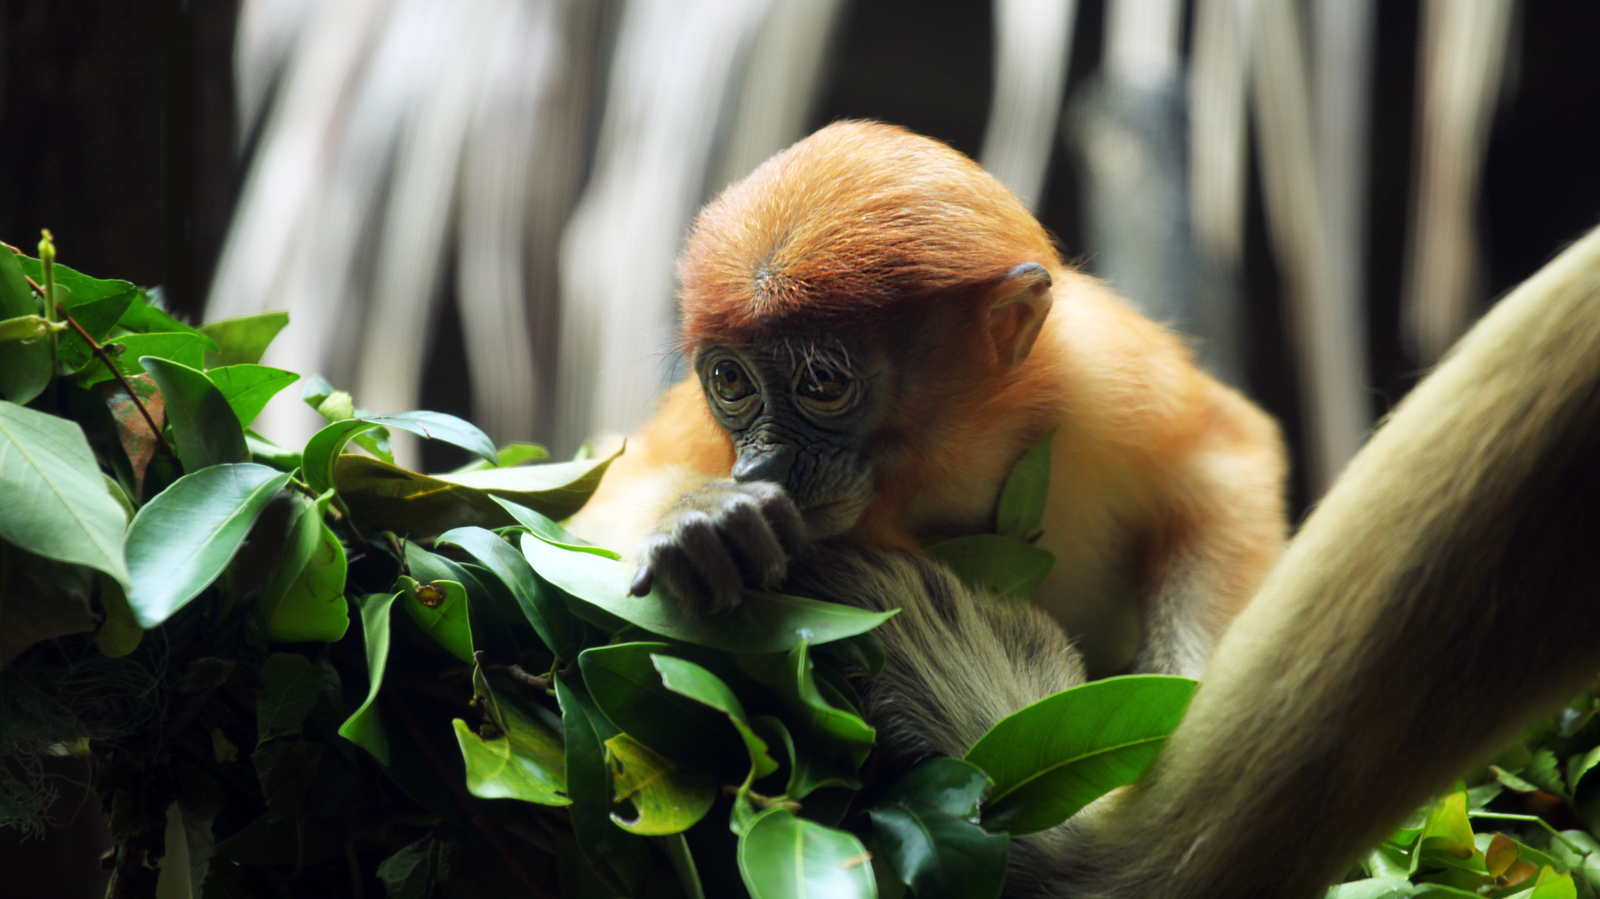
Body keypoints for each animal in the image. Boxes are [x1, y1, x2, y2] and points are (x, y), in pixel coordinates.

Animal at [569, 120, 1292, 678]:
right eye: (731, 382)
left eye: (822, 383)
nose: (763, 465)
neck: (944, 462)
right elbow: (597, 504)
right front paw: (701, 522)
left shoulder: (1098, 365)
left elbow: (1223, 454)